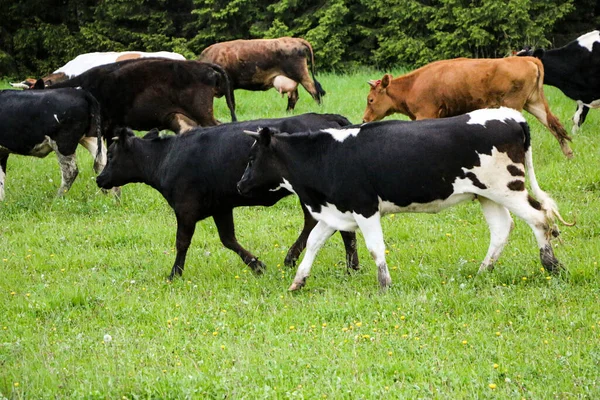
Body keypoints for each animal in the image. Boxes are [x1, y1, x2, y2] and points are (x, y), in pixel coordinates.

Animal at [94, 114, 356, 280]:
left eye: (112, 154)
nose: (99, 179)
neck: (167, 157)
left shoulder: (185, 208)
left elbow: (182, 242)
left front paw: (175, 273)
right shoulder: (221, 207)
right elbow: (228, 239)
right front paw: (257, 265)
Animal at [237, 108, 576, 290]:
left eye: (252, 158)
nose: (240, 184)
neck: (327, 155)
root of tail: (512, 116)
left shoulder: (364, 208)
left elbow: (375, 248)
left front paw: (384, 284)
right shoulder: (336, 211)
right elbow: (313, 243)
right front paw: (298, 281)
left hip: (507, 187)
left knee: (539, 218)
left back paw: (551, 265)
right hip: (486, 194)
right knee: (502, 229)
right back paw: (483, 271)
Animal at [364, 56, 576, 159]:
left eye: (370, 100)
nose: (364, 119)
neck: (413, 84)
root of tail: (527, 59)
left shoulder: (425, 114)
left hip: (514, 105)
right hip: (534, 103)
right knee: (553, 124)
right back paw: (568, 155)